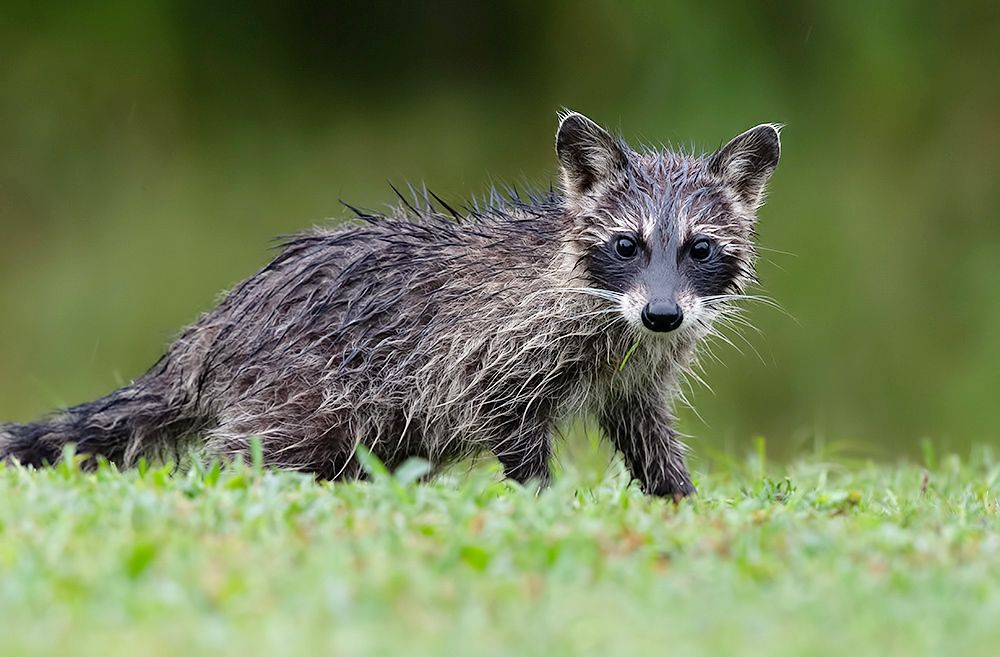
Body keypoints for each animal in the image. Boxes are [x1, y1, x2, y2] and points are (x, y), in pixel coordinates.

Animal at [0, 111, 780, 497]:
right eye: (626, 243)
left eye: (700, 249)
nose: (663, 315)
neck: (612, 310)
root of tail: (219, 324)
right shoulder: (498, 346)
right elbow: (507, 420)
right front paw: (543, 502)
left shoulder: (637, 369)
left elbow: (646, 429)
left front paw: (677, 495)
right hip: (303, 386)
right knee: (254, 445)